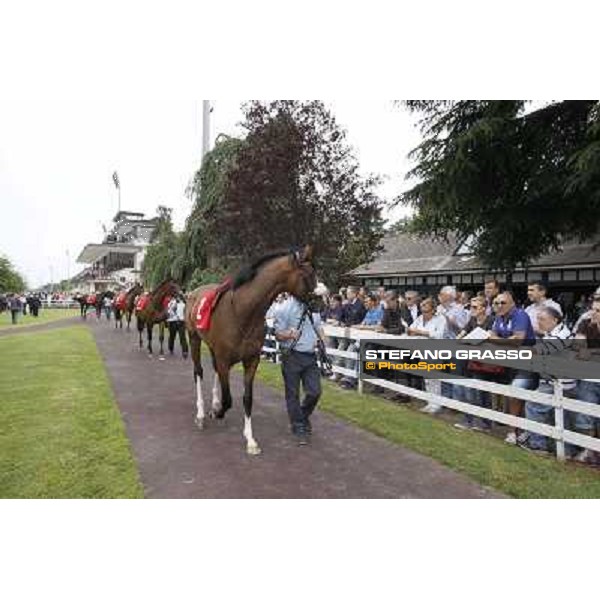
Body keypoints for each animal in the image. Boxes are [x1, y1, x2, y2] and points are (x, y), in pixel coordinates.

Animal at [185, 244, 318, 454]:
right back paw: (200, 414)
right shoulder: (225, 360)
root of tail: (194, 292)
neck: (243, 311)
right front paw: (217, 412)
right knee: (198, 371)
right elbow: (228, 399)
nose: (323, 301)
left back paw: (213, 403)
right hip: (194, 338)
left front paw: (250, 440)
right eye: (308, 274)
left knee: (213, 370)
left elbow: (247, 398)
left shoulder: (251, 360)